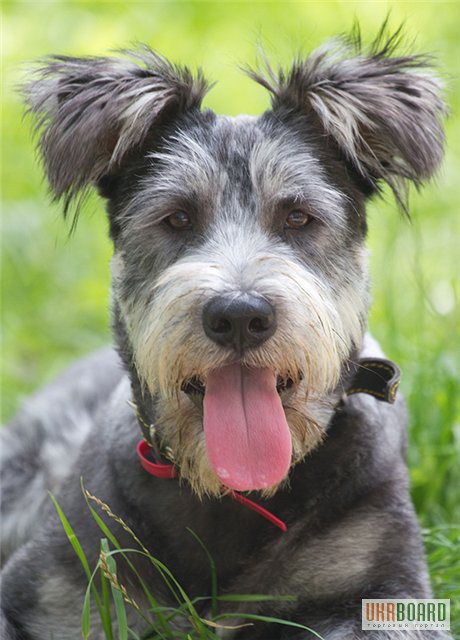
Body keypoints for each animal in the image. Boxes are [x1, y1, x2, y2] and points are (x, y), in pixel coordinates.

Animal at [0, 26, 452, 640]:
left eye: (298, 217)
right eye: (177, 217)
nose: (240, 315)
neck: (228, 495)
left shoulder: (382, 587)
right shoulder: (54, 585)